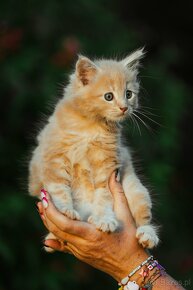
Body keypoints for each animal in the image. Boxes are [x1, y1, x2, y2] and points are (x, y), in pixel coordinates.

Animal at [28, 48, 158, 250]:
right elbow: (59, 189)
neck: (90, 127)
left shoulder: (107, 164)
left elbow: (103, 196)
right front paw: (66, 210)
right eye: (108, 96)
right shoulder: (53, 157)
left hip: (136, 190)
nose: (124, 108)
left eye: (129, 94)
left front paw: (104, 219)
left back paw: (147, 234)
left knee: (144, 218)